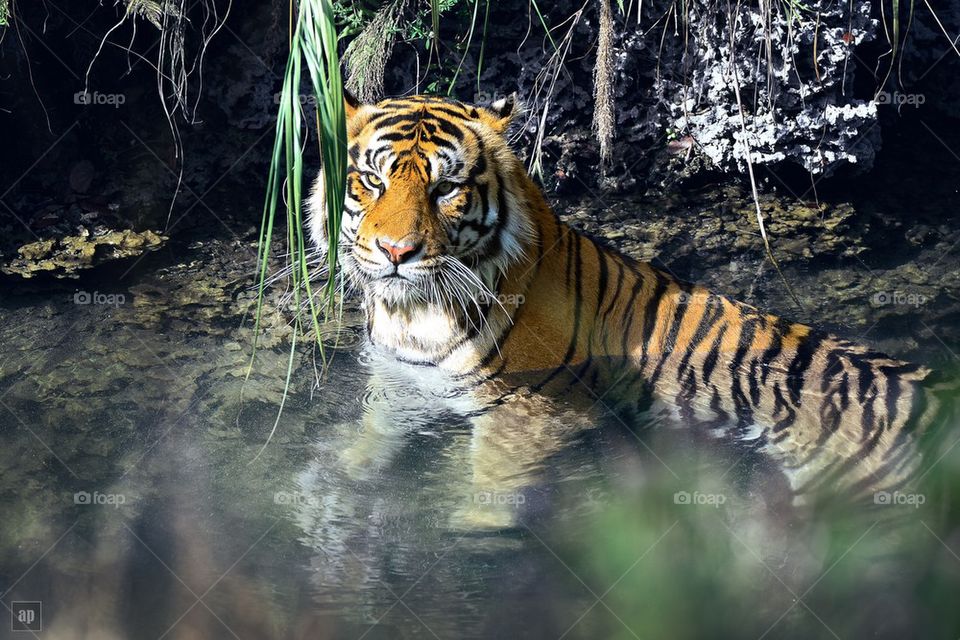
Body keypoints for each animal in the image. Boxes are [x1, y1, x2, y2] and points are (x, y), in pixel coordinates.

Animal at [308, 91, 952, 510]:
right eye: (373, 180)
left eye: (445, 188)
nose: (396, 251)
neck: (414, 315)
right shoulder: (402, 381)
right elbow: (370, 438)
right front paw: (335, 479)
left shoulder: (531, 412)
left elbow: (485, 489)